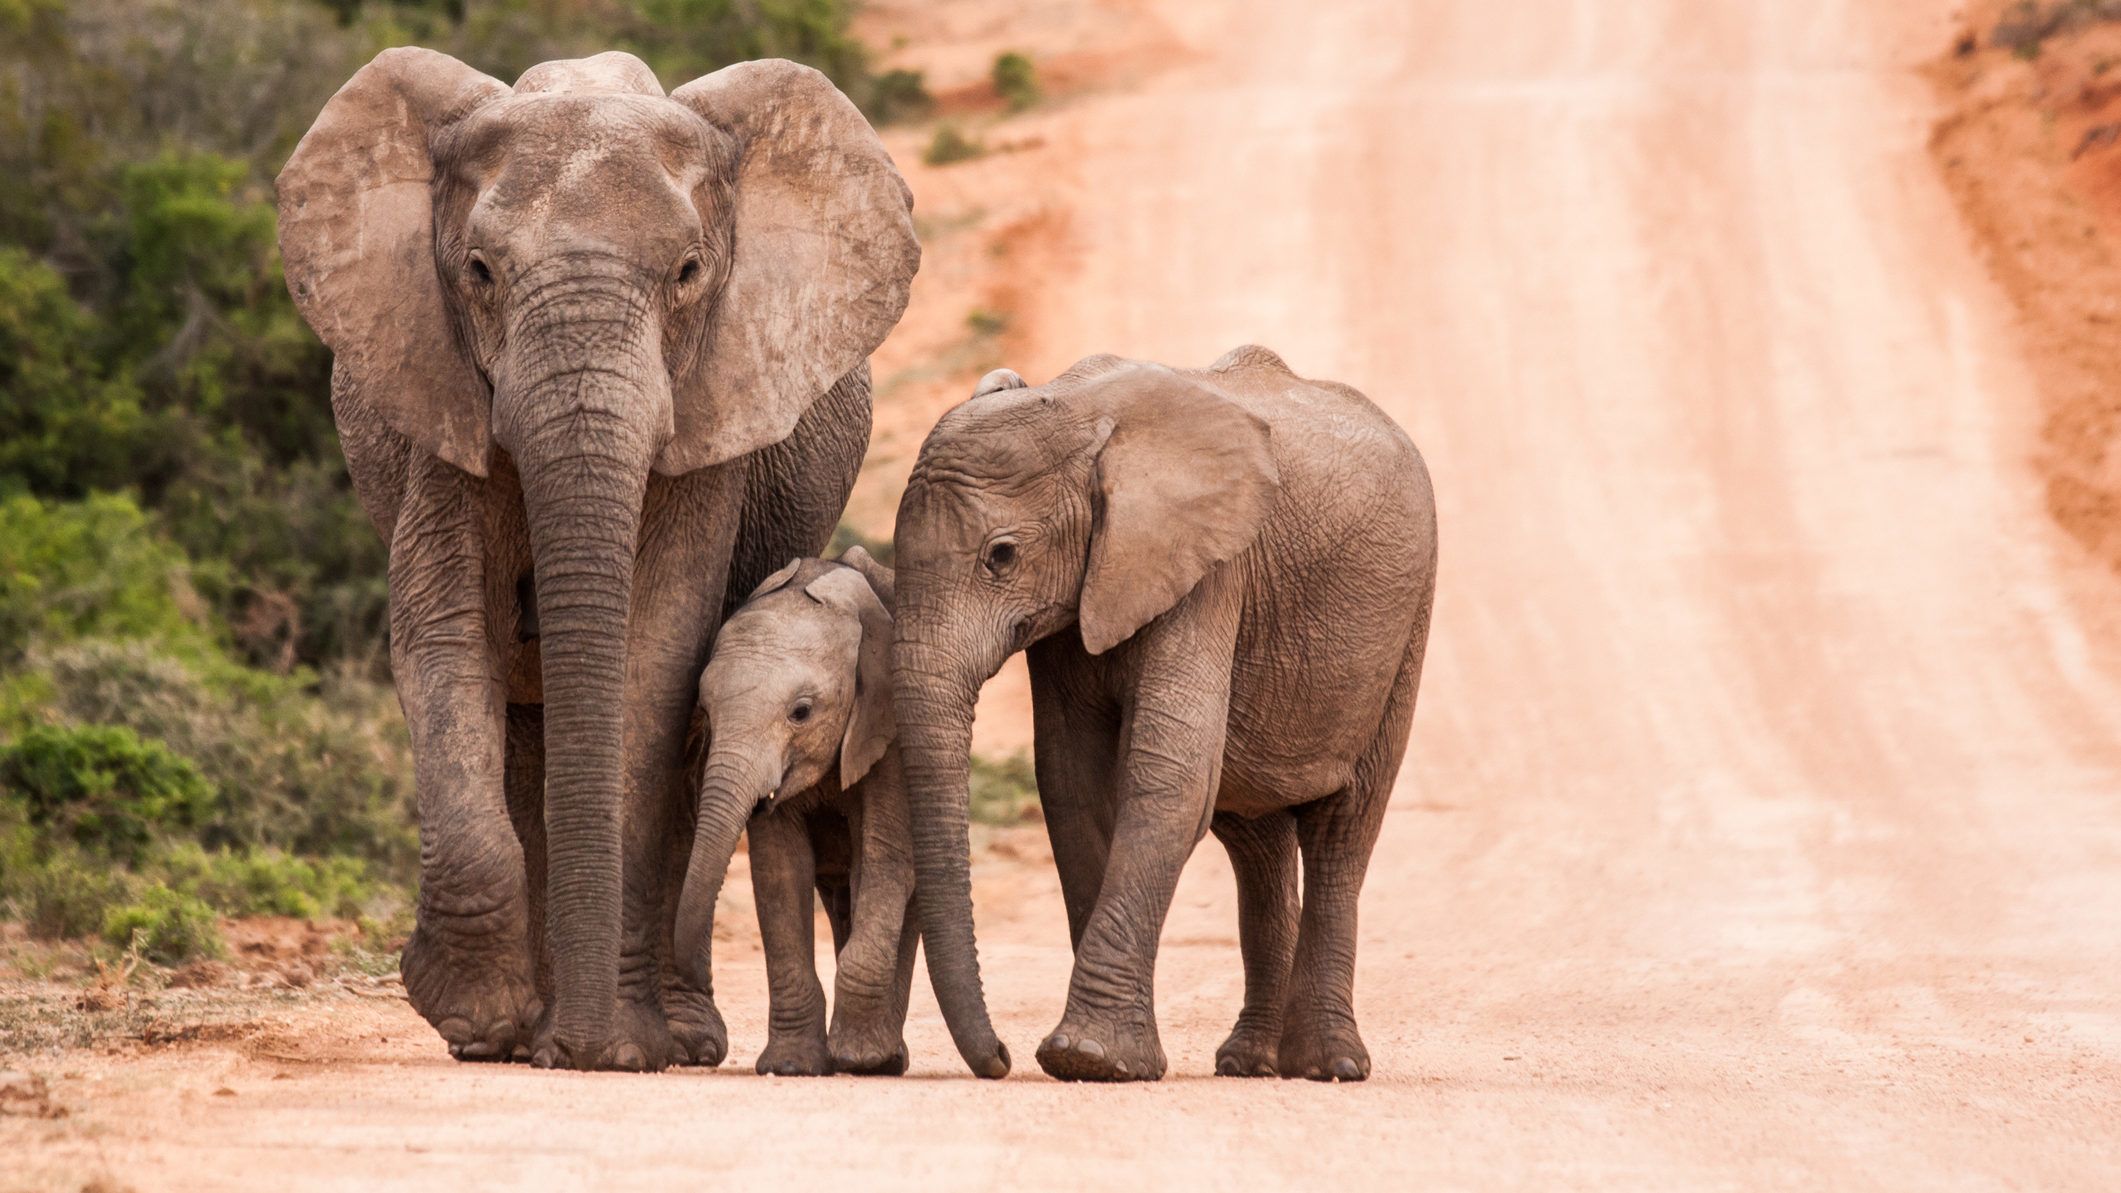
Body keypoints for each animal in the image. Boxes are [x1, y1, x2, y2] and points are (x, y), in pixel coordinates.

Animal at [674, 543, 916, 1074]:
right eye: (706, 711)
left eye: (801, 712)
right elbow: (781, 873)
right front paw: (790, 1066)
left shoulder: (892, 731)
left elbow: (883, 860)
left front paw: (862, 1059)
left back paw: (885, 1057)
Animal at [886, 341, 1433, 1078]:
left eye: (1001, 556)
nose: (998, 1057)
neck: (1077, 412)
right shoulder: (1081, 597)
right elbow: (1071, 781)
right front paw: (1097, 1057)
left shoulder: (1209, 571)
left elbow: (1167, 776)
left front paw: (1088, 1057)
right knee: (1255, 842)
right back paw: (1248, 1062)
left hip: (1406, 626)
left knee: (1344, 829)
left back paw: (1329, 1067)